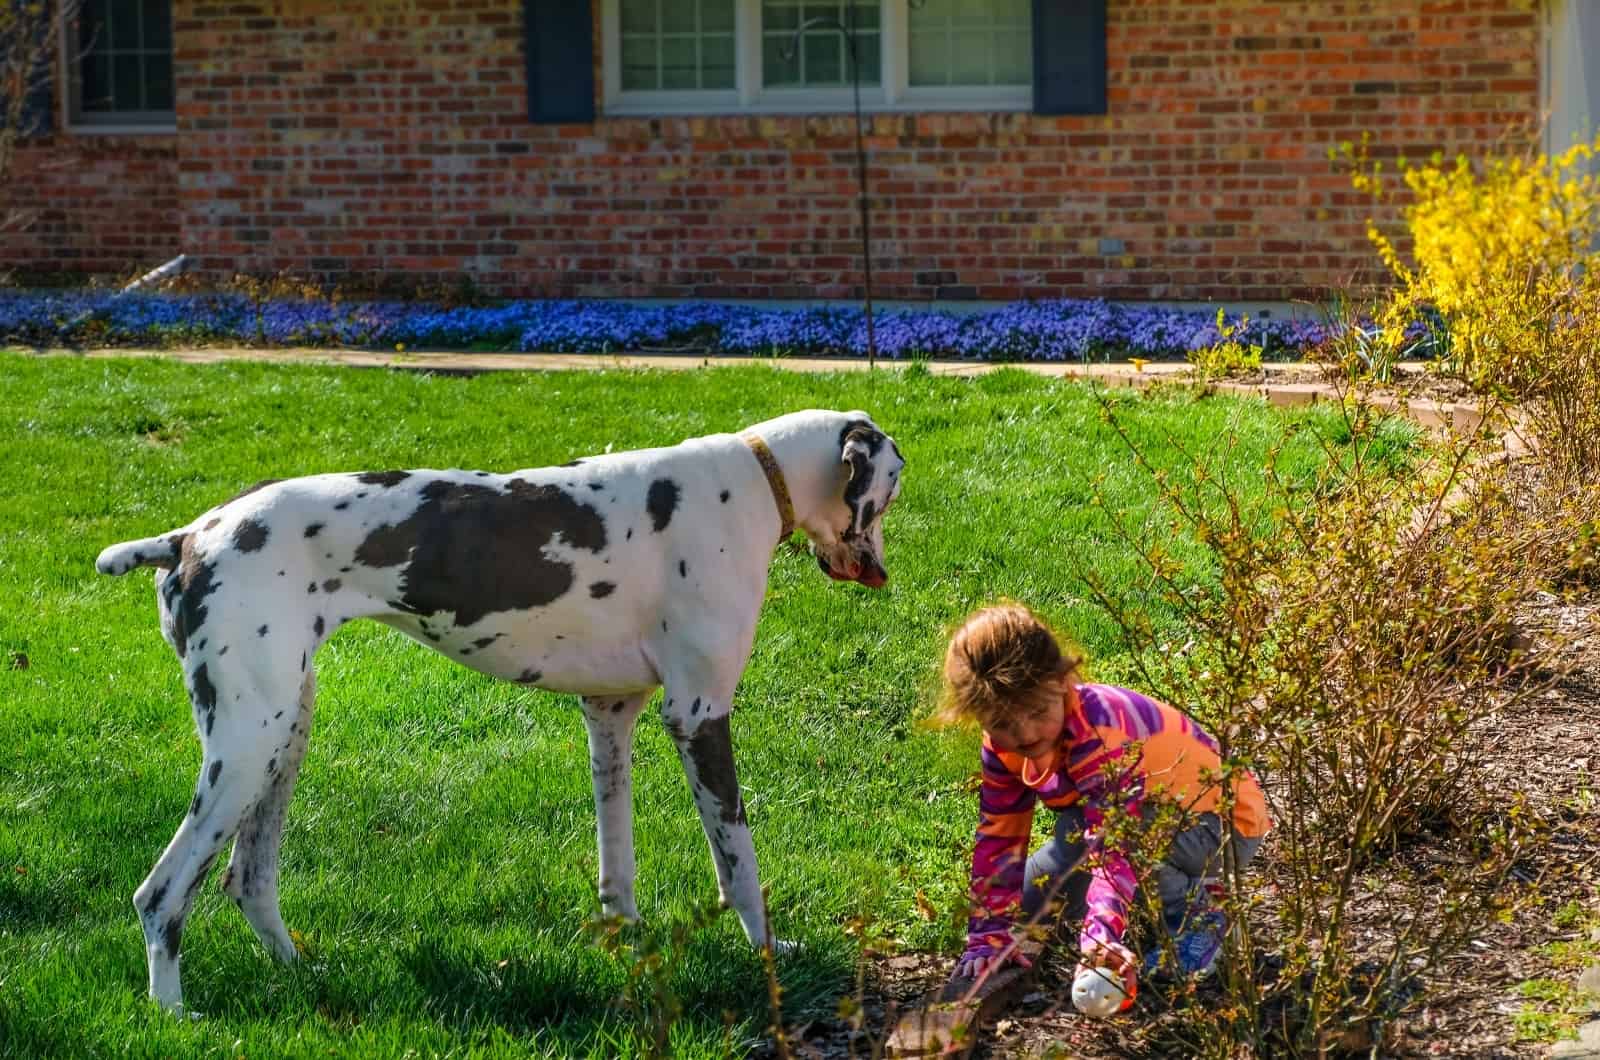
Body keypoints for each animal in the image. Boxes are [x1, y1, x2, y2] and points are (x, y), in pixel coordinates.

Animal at [96, 408, 902, 1024]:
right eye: (891, 491)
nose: (883, 573)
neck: (752, 484)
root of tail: (189, 535)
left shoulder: (610, 715)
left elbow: (618, 867)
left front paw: (624, 936)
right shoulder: (699, 715)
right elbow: (739, 862)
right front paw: (770, 955)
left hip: (282, 734)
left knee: (249, 880)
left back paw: (301, 971)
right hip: (245, 744)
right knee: (161, 894)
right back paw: (175, 1014)